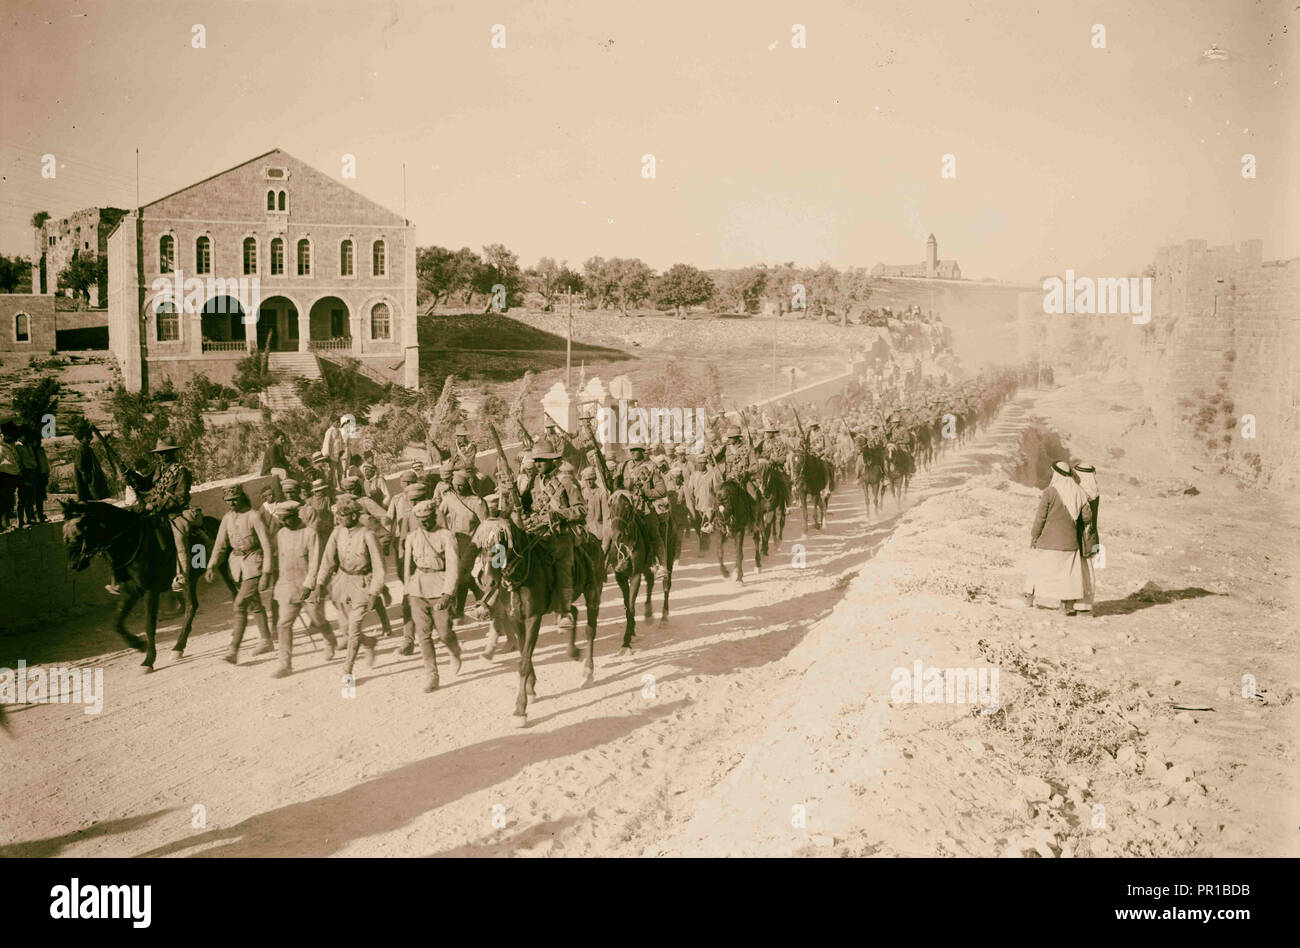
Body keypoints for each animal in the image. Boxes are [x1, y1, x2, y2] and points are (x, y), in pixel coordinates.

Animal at [59, 499, 230, 671]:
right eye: (65, 533)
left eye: (81, 529)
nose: (73, 564)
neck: (132, 542)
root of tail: (217, 522)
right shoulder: (130, 593)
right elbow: (117, 624)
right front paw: (138, 644)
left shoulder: (150, 592)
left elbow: (149, 626)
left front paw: (148, 660)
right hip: (191, 580)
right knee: (192, 606)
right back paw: (178, 647)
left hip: (220, 568)